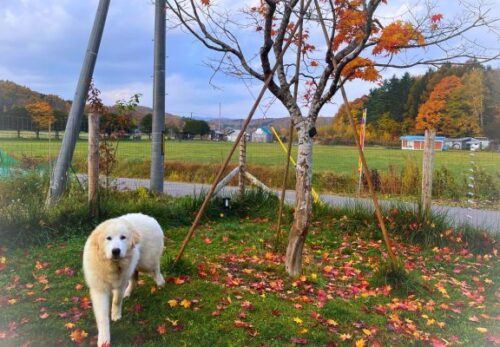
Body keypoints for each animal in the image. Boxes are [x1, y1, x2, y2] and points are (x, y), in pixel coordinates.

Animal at [83, 213, 165, 346]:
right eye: (108, 238)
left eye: (123, 237)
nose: (116, 251)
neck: (112, 265)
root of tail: (150, 218)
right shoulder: (99, 290)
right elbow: (102, 317)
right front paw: (104, 339)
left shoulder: (120, 283)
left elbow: (116, 300)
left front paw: (116, 315)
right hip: (134, 266)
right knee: (135, 278)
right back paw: (128, 293)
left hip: (146, 263)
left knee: (155, 269)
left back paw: (160, 282)